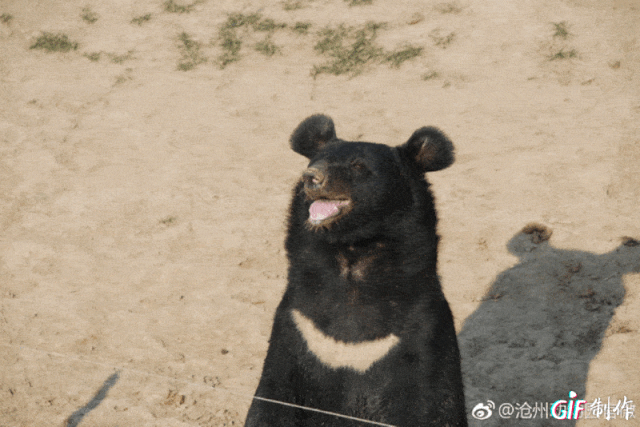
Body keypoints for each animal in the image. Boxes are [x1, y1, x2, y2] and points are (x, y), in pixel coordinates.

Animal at [244, 115, 467, 427]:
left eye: (358, 166)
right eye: (317, 161)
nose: (312, 177)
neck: (351, 259)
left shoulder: (423, 336)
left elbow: (435, 406)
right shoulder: (295, 330)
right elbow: (272, 402)